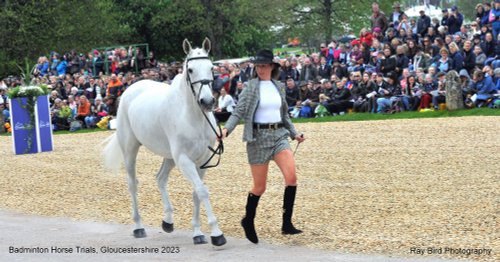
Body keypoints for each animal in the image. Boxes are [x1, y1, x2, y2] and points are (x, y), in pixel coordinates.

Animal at [102, 37, 227, 247]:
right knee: (132, 184)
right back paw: (138, 227)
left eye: (211, 68)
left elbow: (196, 193)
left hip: (169, 157)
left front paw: (198, 233)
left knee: (160, 178)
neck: (193, 116)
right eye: (190, 70)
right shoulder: (184, 159)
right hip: (130, 150)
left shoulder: (202, 160)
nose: (208, 101)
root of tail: (131, 88)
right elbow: (202, 191)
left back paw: (167, 222)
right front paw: (217, 234)